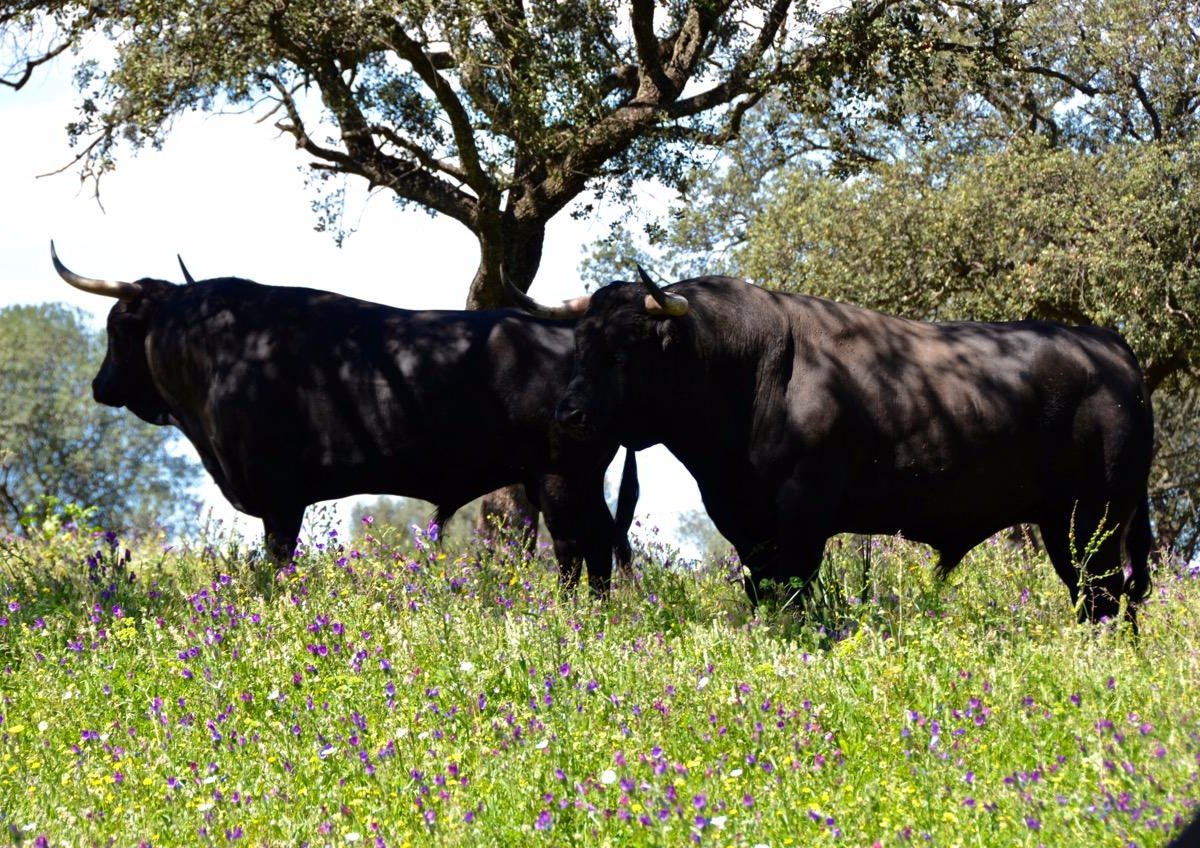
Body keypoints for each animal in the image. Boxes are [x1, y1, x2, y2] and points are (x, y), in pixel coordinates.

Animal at [54, 242, 638, 594]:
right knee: (602, 543)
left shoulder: (279, 497)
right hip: (579, 478)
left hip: (560, 477)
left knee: (575, 547)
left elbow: (279, 562)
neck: (217, 351)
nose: (99, 386)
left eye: (116, 326)